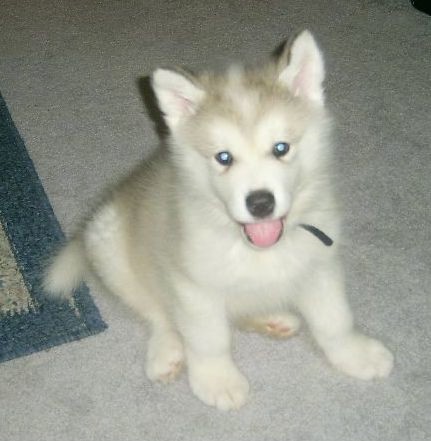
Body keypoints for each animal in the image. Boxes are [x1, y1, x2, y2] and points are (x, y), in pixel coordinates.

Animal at [44, 30, 394, 410]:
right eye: (224, 158)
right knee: (157, 311)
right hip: (109, 246)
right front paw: (217, 380)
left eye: (281, 148)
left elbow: (335, 320)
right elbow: (209, 339)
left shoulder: (319, 265)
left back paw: (273, 318)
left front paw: (355, 354)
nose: (260, 203)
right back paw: (167, 350)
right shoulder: (193, 285)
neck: (256, 249)